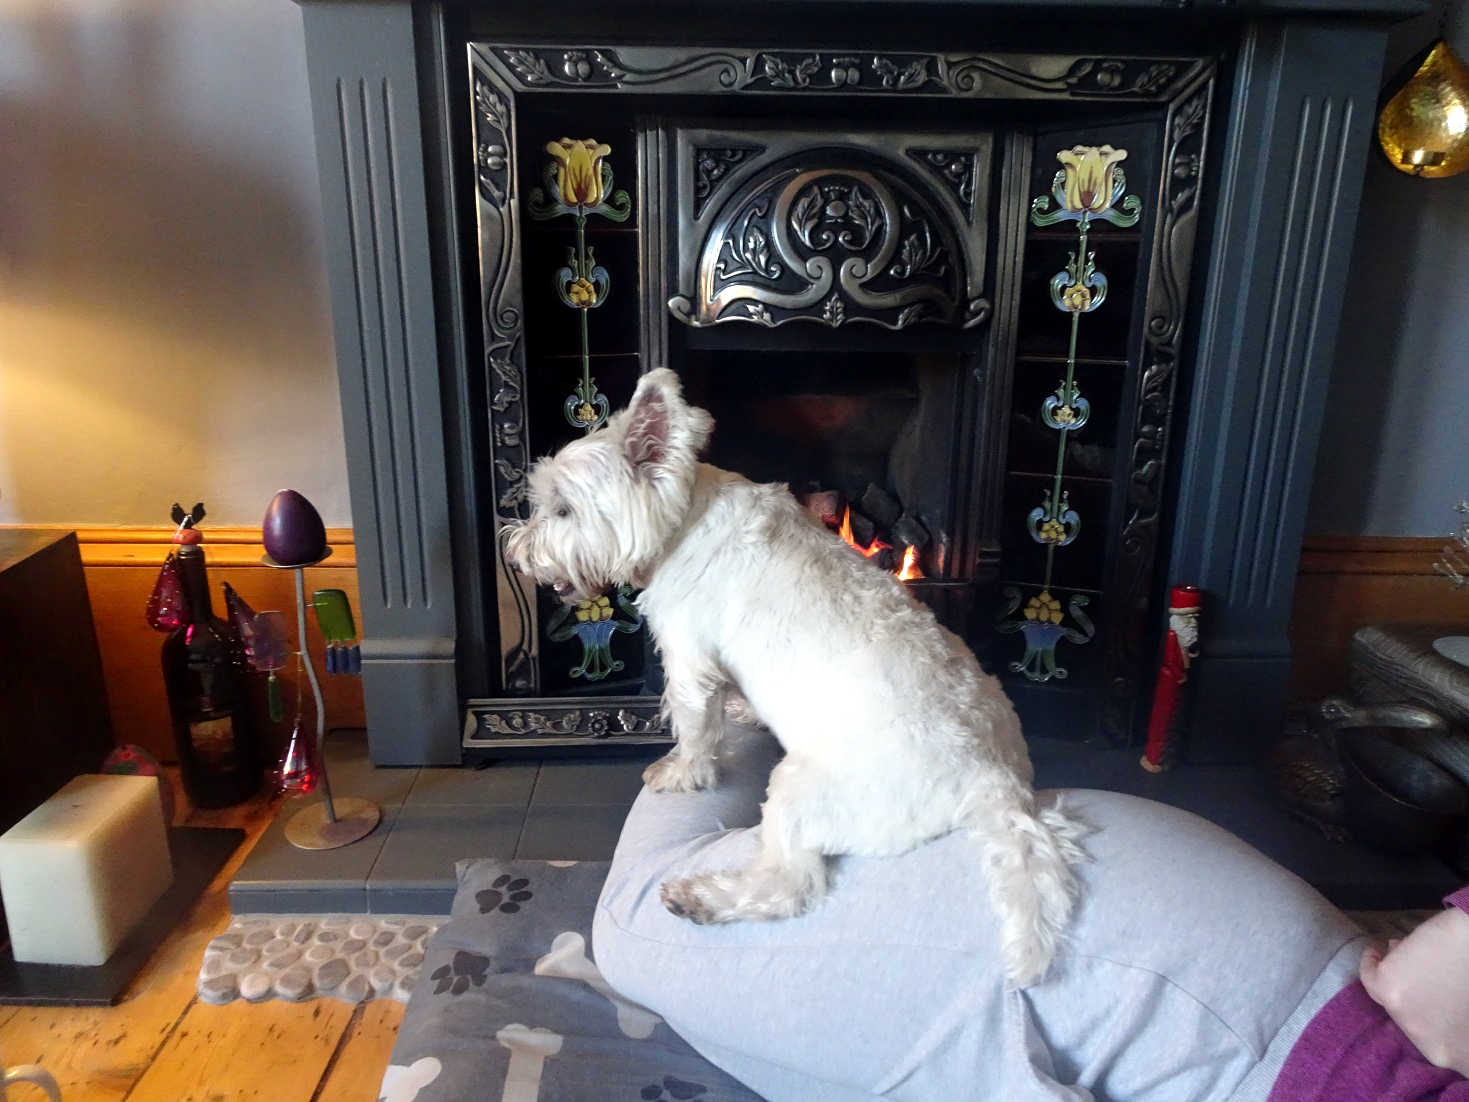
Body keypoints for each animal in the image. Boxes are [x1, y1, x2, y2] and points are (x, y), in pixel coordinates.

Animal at [508, 367, 1092, 987]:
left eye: (563, 510)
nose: (517, 556)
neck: (683, 522)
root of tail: (994, 784)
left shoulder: (688, 657)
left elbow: (693, 726)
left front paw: (681, 772)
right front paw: (743, 711)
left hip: (798, 791)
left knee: (792, 885)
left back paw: (701, 898)